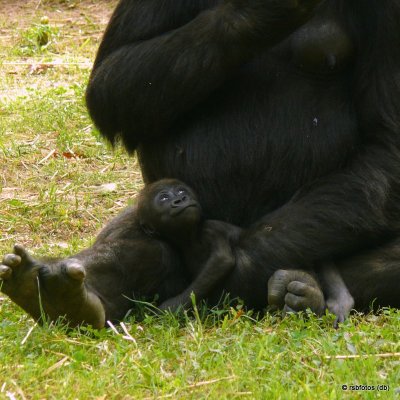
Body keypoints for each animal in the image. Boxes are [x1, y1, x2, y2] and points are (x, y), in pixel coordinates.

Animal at [138, 179, 354, 324]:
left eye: (182, 191)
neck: (188, 236)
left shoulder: (210, 229)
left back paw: (336, 298)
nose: (181, 199)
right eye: (164, 197)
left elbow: (222, 260)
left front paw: (170, 307)